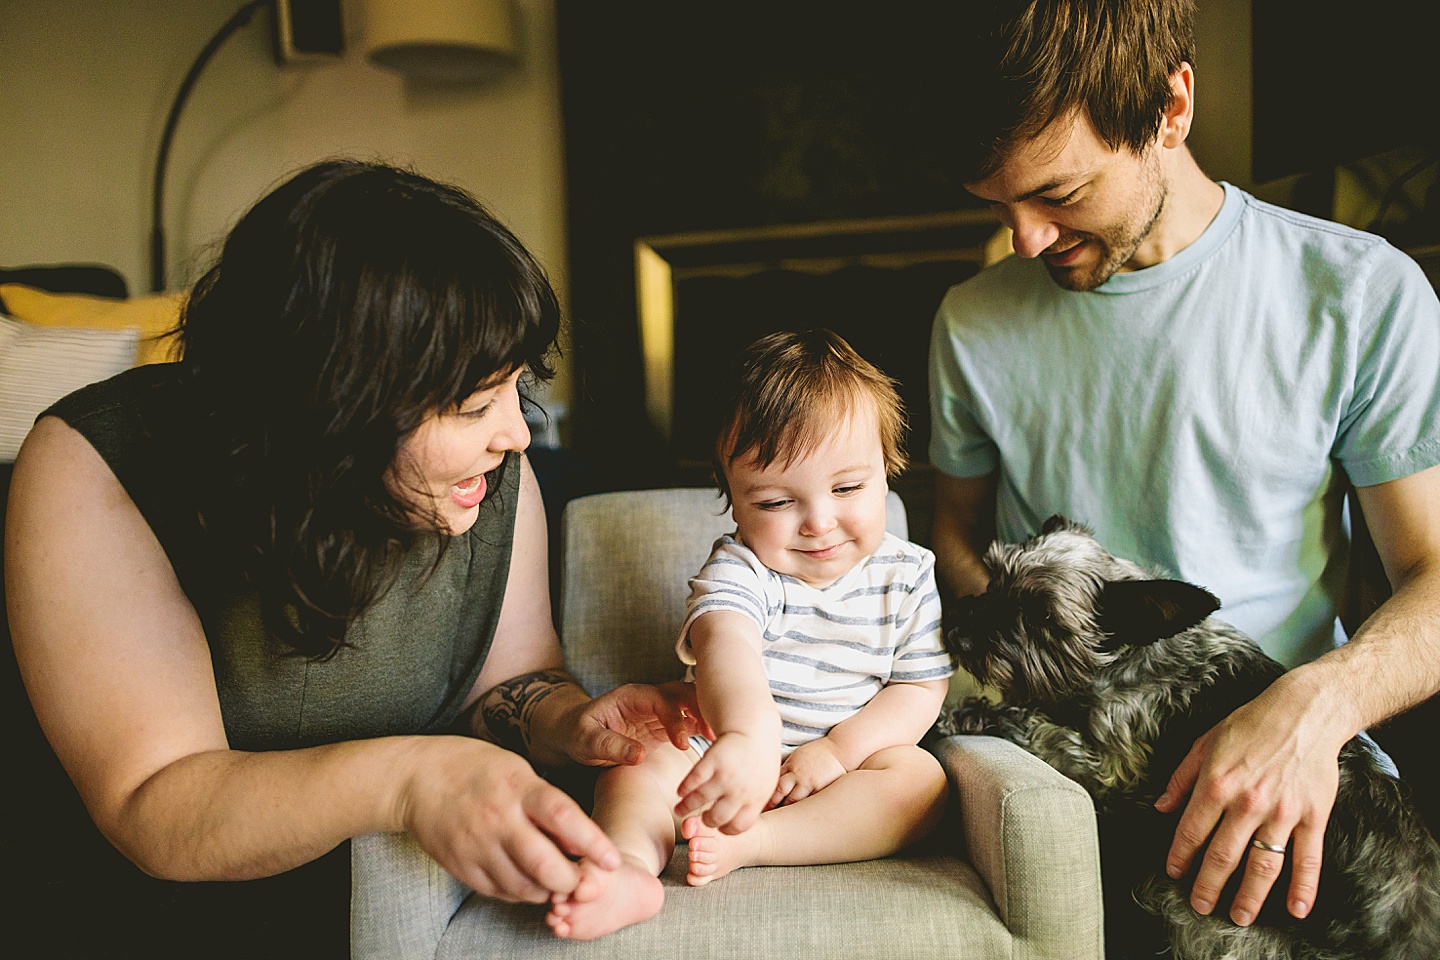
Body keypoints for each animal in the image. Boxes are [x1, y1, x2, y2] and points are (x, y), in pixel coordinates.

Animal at [933, 518, 1440, 960]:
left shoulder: (1108, 767)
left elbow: (1036, 724)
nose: (956, 629)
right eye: (994, 577)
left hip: (1194, 909)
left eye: (1041, 616)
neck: (1131, 659)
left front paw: (961, 716)